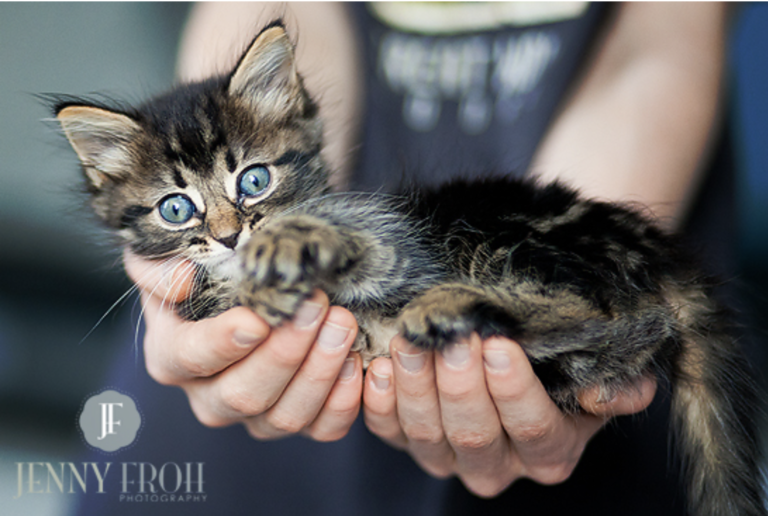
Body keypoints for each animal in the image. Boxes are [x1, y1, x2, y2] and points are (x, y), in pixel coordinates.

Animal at [54, 22, 760, 516]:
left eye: (254, 179)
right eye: (176, 209)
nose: (229, 236)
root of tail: (653, 247)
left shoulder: (398, 243)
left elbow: (346, 245)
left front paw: (284, 248)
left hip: (503, 237)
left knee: (614, 315)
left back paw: (454, 305)